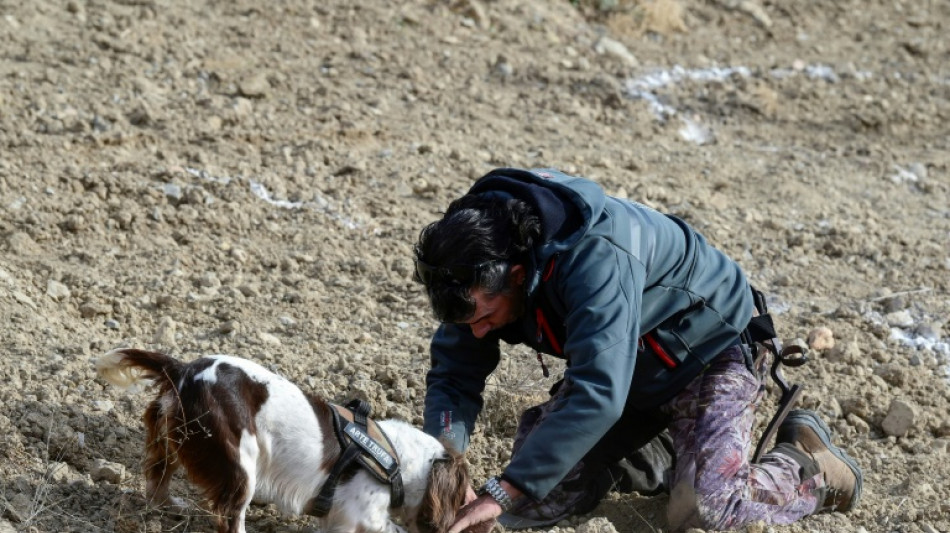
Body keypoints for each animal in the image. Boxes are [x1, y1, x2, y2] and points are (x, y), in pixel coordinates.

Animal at [96, 348, 468, 532]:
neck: (397, 462)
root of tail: (182, 369)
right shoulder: (361, 516)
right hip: (241, 463)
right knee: (230, 518)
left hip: (169, 441)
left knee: (156, 483)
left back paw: (171, 506)